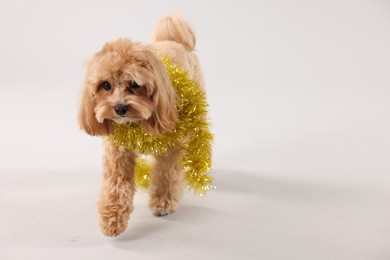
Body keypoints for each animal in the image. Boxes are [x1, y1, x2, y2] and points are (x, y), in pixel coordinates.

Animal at [78, 14, 212, 238]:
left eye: (134, 84)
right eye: (105, 85)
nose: (120, 108)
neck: (136, 125)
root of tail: (172, 40)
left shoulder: (170, 149)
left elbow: (166, 176)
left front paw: (162, 203)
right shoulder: (118, 155)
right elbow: (116, 186)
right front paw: (111, 219)